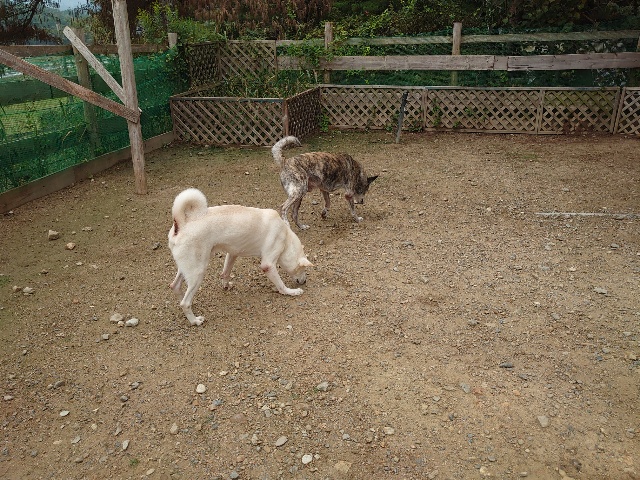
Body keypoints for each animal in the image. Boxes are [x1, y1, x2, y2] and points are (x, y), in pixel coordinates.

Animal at [168, 188, 312, 326]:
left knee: (175, 286)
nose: (305, 281)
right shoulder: (268, 265)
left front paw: (226, 285)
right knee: (185, 303)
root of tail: (182, 224)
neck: (286, 238)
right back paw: (194, 320)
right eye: (303, 269)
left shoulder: (233, 253)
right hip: (198, 271)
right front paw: (291, 292)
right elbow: (281, 285)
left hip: (187, 267)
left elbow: (225, 273)